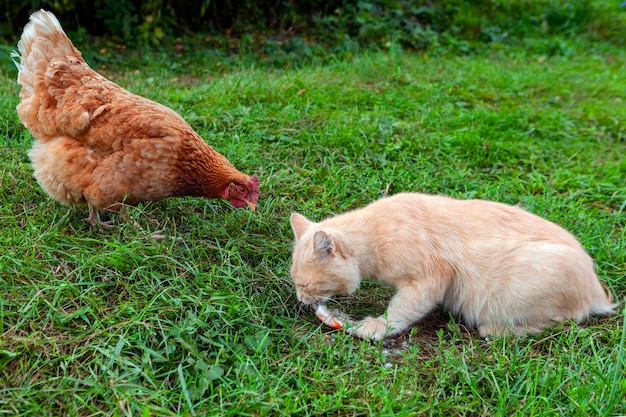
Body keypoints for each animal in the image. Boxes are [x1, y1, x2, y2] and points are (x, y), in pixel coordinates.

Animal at [288, 193, 616, 340]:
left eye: (305, 285)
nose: (302, 300)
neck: (376, 231)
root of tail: (596, 290)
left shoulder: (429, 280)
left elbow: (399, 313)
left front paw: (374, 328)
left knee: (558, 321)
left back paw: (494, 330)